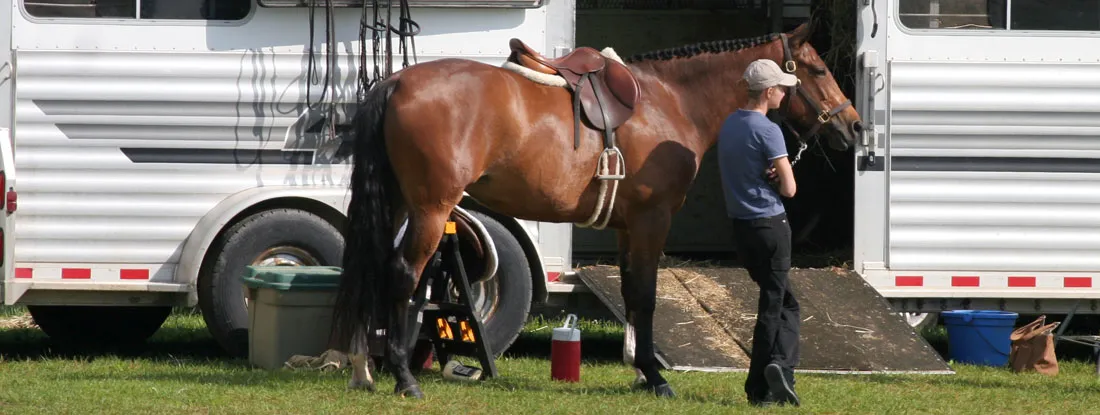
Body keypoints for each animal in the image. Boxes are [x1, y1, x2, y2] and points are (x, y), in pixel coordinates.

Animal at [328, 21, 862, 399]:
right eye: (818, 69)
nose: (854, 126)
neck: (671, 100)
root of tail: (396, 82)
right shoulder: (652, 220)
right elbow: (645, 296)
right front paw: (655, 377)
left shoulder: (628, 227)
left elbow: (631, 295)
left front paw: (643, 372)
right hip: (432, 208)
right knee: (403, 274)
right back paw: (403, 377)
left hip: (402, 205)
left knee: (376, 269)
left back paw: (364, 368)